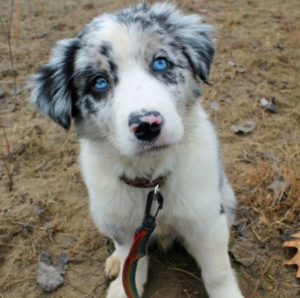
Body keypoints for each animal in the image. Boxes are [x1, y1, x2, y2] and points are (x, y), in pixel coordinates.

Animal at [31, 2, 244, 298]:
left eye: (160, 62)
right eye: (99, 82)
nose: (147, 125)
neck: (150, 179)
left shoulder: (206, 218)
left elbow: (217, 271)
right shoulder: (122, 225)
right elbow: (131, 264)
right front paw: (122, 287)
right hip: (102, 212)